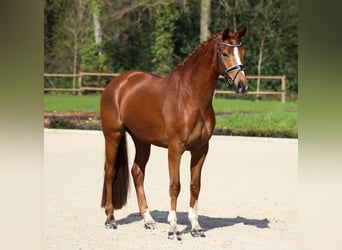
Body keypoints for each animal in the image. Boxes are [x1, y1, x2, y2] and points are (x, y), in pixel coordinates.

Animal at [100, 26, 247, 239]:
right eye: (225, 53)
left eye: (242, 52)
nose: (242, 86)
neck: (190, 98)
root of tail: (117, 83)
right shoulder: (175, 149)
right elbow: (175, 185)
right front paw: (173, 228)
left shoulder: (201, 149)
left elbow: (195, 186)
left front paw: (196, 227)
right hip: (113, 135)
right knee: (110, 172)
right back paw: (110, 219)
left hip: (142, 140)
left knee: (137, 172)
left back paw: (148, 219)